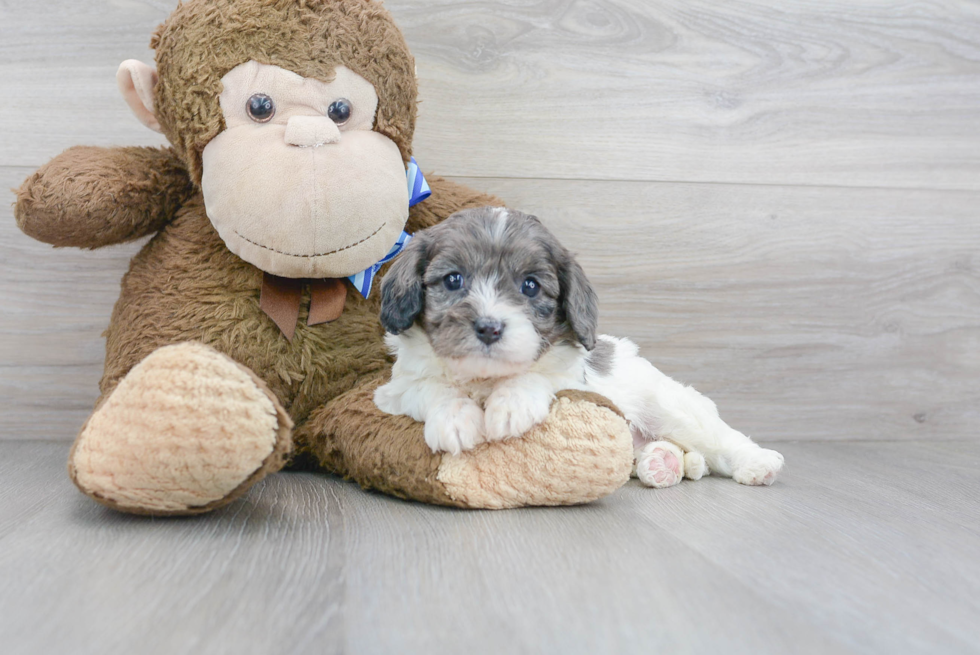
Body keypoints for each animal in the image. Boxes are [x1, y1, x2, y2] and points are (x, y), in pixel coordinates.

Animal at [372, 206, 784, 486]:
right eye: (453, 280)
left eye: (530, 286)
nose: (489, 327)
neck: (485, 379)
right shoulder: (395, 390)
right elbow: (430, 388)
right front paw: (455, 416)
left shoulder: (575, 381)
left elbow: (540, 377)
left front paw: (512, 402)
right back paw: (660, 462)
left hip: (672, 408)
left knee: (718, 439)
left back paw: (757, 462)